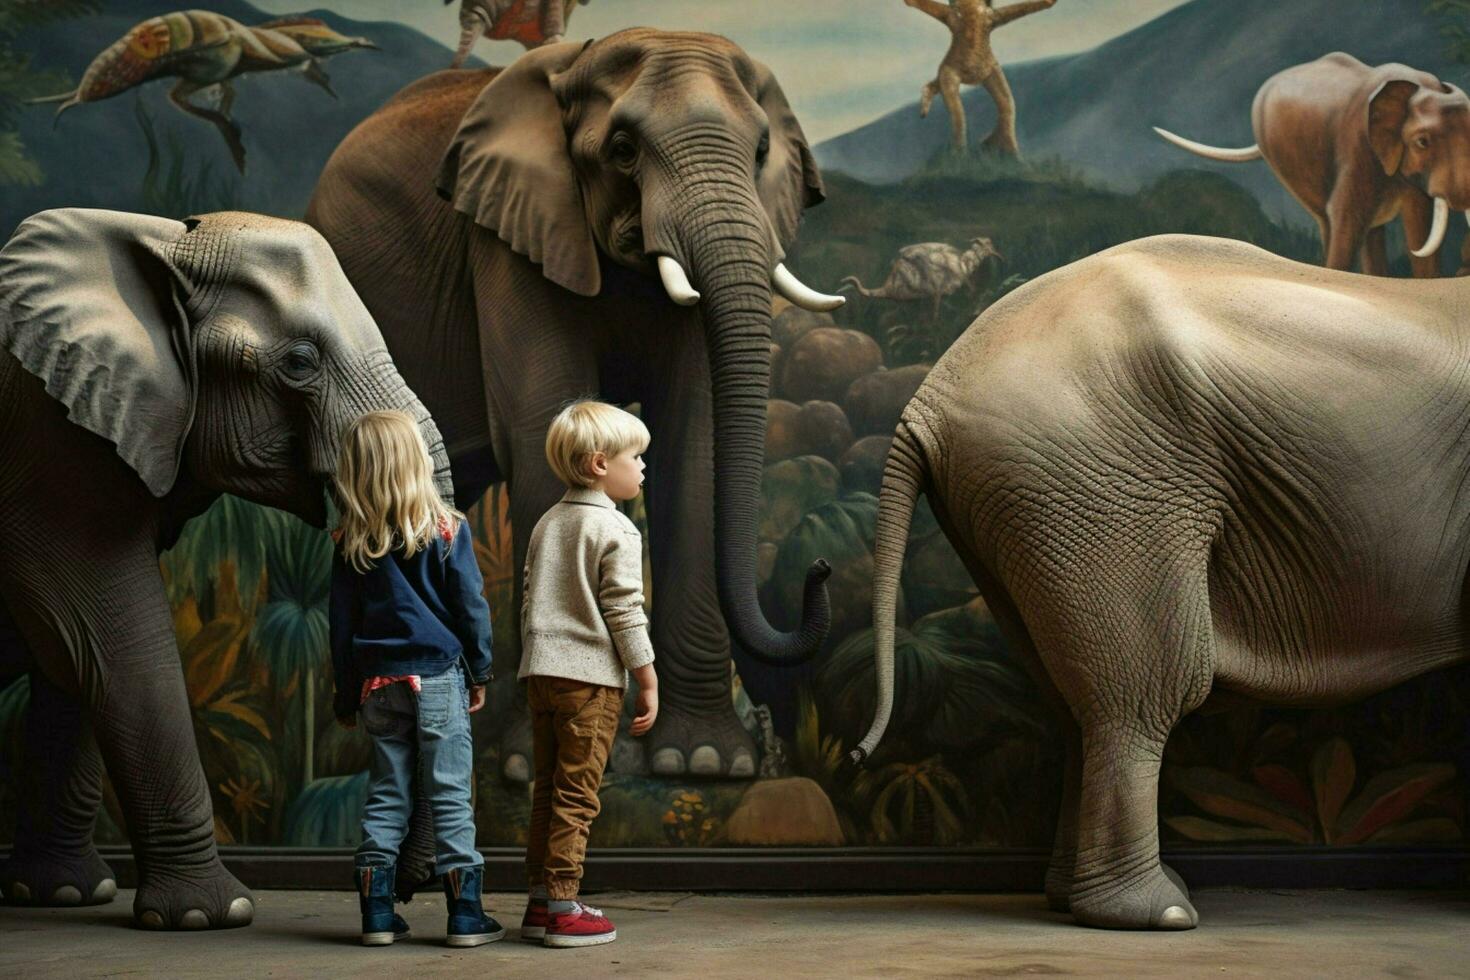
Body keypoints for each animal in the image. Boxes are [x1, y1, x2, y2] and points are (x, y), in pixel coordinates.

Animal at [0, 207, 452, 928]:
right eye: (299, 363)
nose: (412, 890)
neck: (164, 245)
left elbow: (74, 655)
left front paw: (66, 894)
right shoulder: (55, 444)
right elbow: (115, 641)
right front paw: (207, 916)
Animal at [307, 30, 840, 781]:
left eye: (762, 150)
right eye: (622, 150)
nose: (821, 569)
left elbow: (695, 436)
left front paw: (704, 762)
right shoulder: (507, 236)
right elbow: (542, 419)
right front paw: (536, 766)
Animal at [858, 233, 1470, 934]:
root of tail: (929, 396)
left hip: (1020, 505)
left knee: (1076, 702)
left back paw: (1078, 899)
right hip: (1096, 488)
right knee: (1144, 694)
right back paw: (1159, 915)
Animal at [1152, 52, 1470, 276]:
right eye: (1422, 142)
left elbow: (1421, 224)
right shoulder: (1357, 148)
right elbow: (1344, 217)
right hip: (1288, 163)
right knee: (1328, 220)